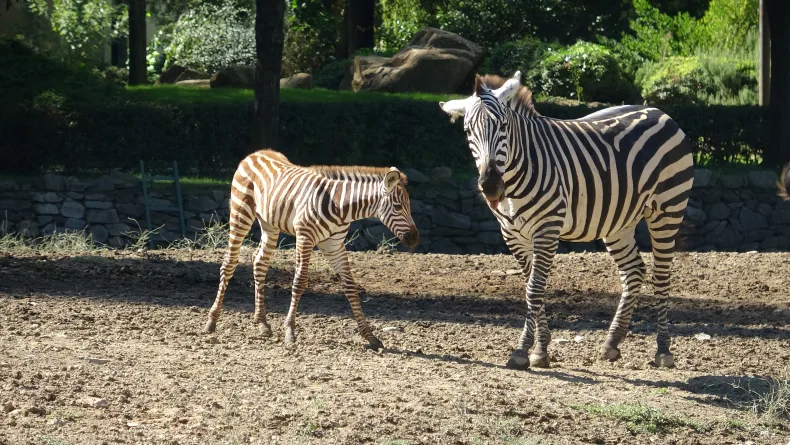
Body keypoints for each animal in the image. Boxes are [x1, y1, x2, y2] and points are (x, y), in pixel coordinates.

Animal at [203, 149, 420, 350]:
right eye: (398, 206)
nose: (415, 239)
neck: (340, 206)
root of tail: (256, 153)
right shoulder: (305, 237)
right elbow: (300, 281)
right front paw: (290, 331)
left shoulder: (334, 245)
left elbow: (350, 286)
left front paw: (370, 336)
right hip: (240, 213)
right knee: (229, 263)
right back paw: (212, 321)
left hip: (269, 224)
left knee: (260, 263)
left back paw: (263, 323)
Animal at [439, 72, 694, 369]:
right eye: (468, 132)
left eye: (503, 126)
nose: (491, 186)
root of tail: (658, 111)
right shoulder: (512, 234)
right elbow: (530, 287)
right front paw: (541, 348)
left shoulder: (547, 229)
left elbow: (534, 290)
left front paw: (523, 350)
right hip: (619, 221)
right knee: (634, 271)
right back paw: (611, 343)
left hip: (668, 208)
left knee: (661, 276)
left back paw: (663, 350)